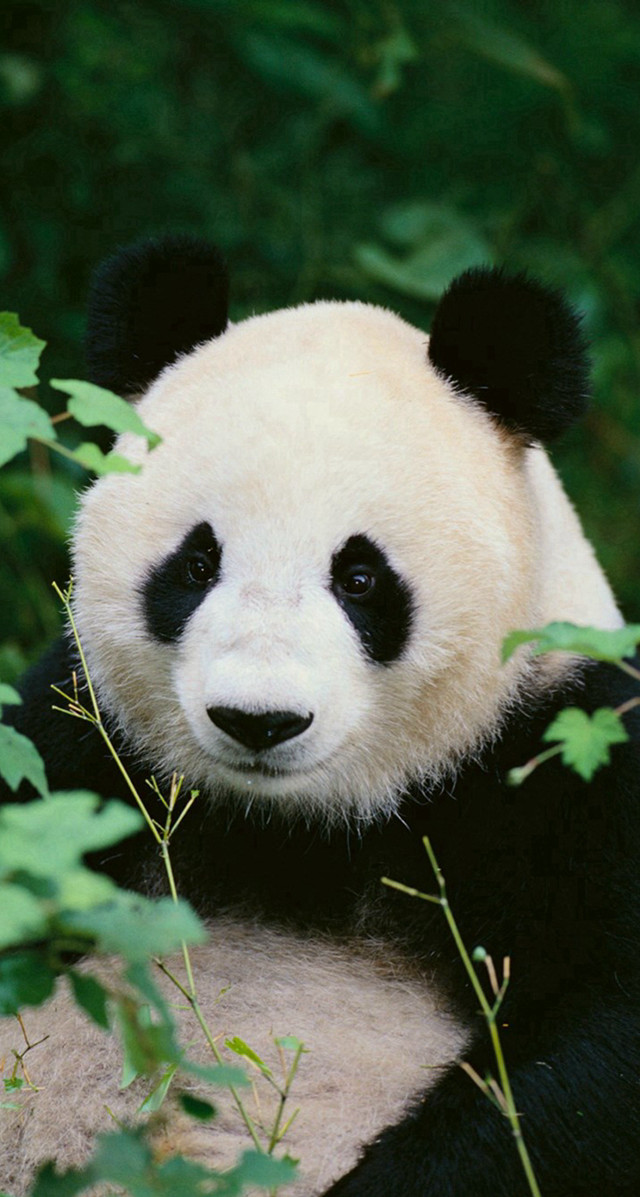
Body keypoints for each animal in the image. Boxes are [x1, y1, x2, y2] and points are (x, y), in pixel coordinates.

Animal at [1, 235, 639, 1197]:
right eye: (197, 564)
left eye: (361, 576)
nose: (258, 719)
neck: (298, 828)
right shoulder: (82, 745)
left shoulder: (564, 758)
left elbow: (591, 1047)